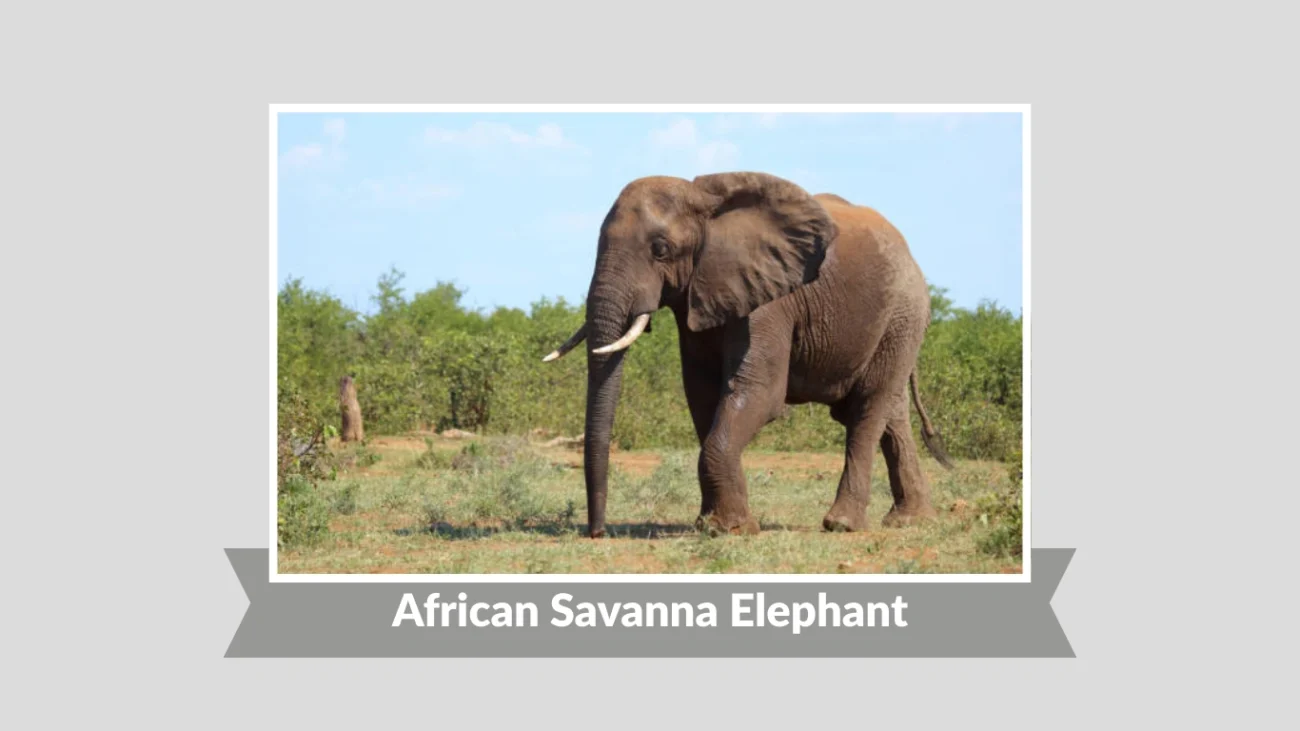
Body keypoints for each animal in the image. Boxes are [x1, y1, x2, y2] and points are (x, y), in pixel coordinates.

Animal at [542, 171, 954, 538]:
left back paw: (842, 524)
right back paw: (912, 521)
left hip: (903, 315)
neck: (705, 202)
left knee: (867, 408)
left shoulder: (770, 300)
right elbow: (703, 395)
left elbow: (758, 392)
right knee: (891, 413)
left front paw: (730, 529)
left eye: (660, 249)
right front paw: (712, 524)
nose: (597, 532)